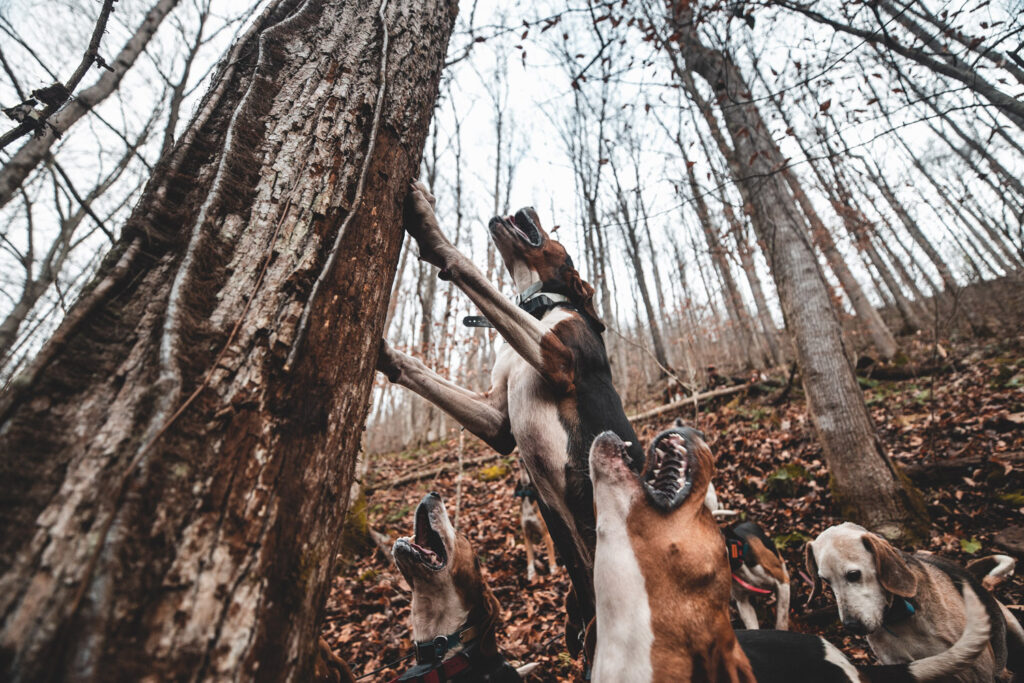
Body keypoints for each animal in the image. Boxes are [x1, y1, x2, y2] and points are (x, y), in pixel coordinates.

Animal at [380, 179, 643, 651]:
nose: (531, 203)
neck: (544, 305)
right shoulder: (497, 421)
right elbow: (419, 371)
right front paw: (385, 354)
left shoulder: (557, 358)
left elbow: (468, 268)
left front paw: (429, 228)